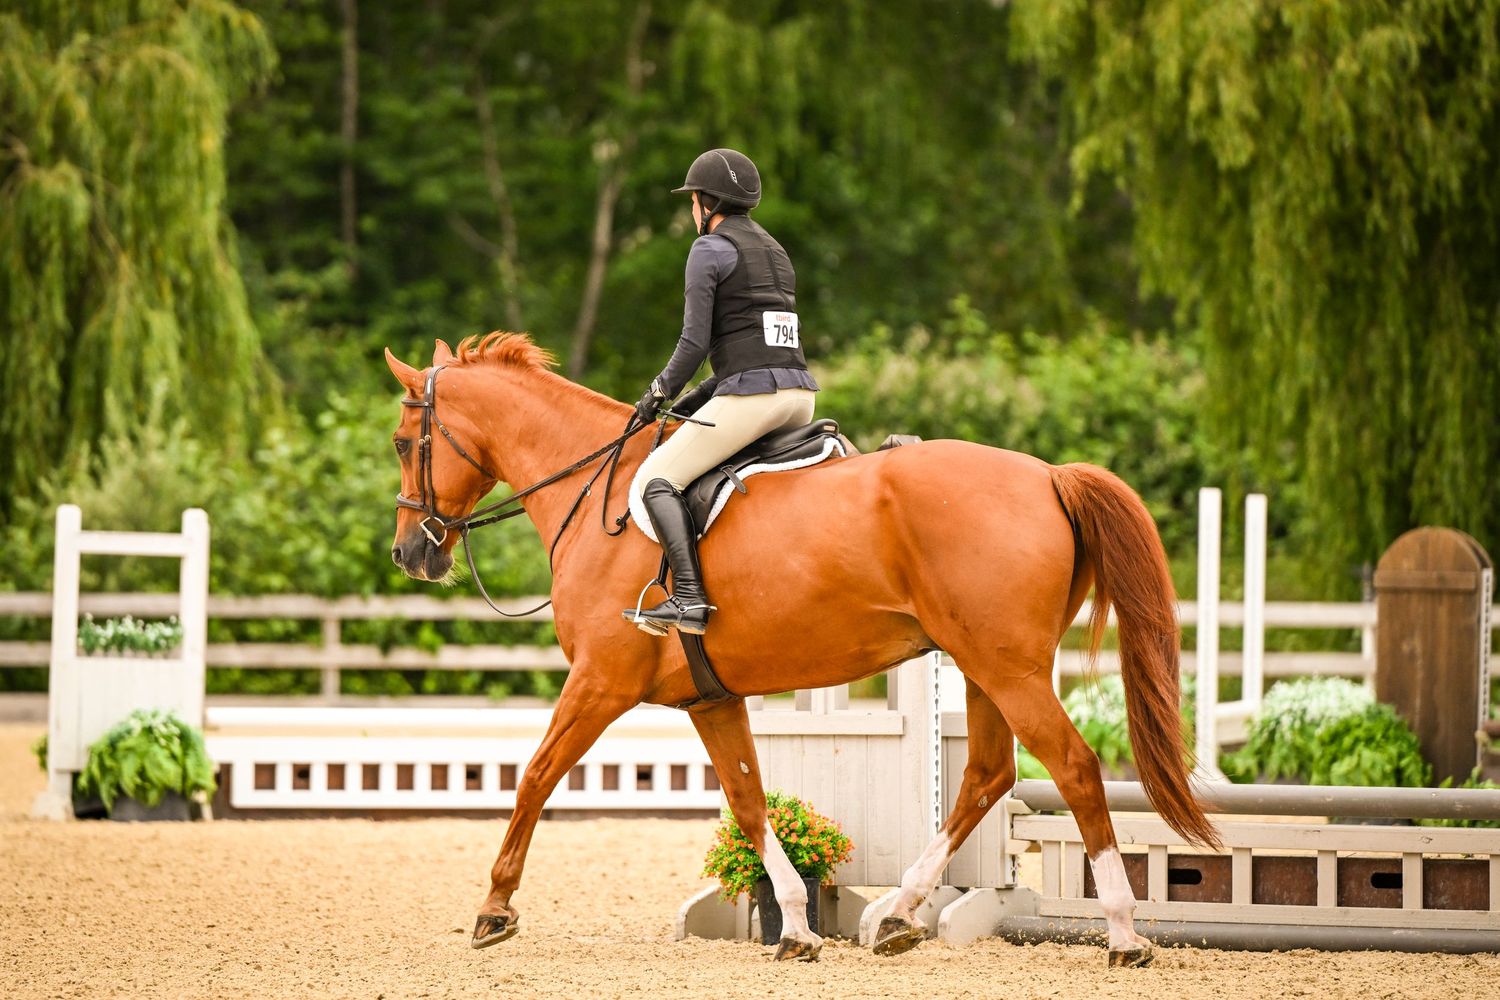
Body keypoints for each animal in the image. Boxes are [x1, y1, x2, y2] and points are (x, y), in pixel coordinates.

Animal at [385, 332, 1218, 967]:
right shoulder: (710, 698)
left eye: (401, 442)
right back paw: (897, 914)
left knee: (1073, 768)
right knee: (987, 774)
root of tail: (1048, 475)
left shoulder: (599, 681)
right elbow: (751, 802)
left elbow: (533, 777)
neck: (598, 495)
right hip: (985, 668)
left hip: (1007, 668)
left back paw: (1123, 935)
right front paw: (795, 926)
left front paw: (494, 909)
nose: (410, 554)